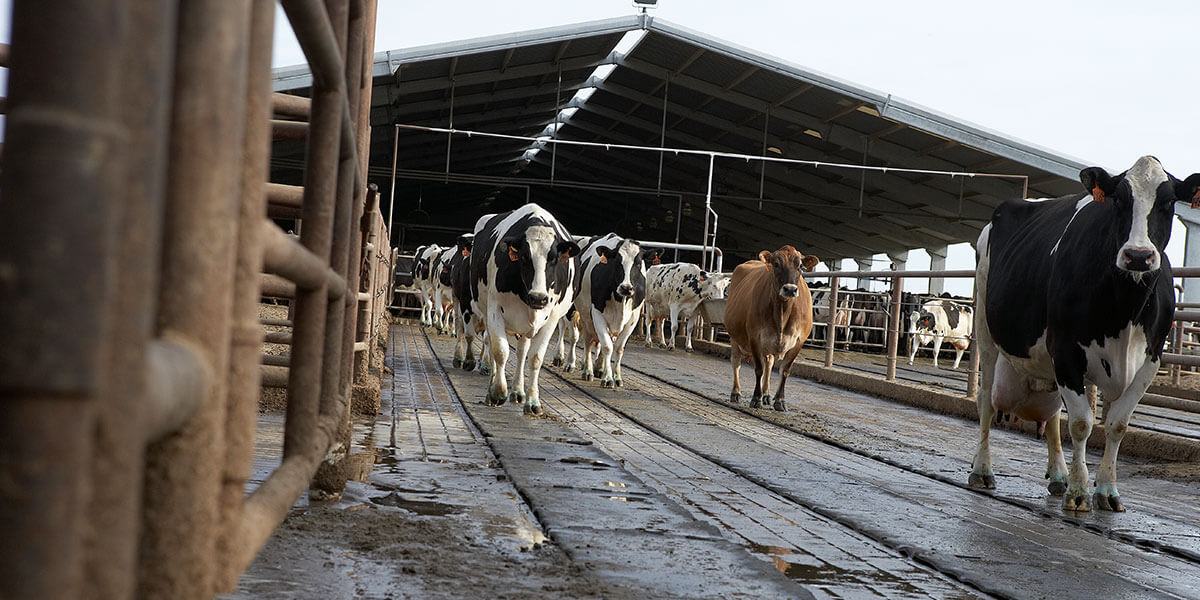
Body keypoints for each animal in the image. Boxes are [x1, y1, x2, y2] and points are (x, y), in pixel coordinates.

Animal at [468, 204, 580, 415]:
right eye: (524, 257)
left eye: (554, 259)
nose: (538, 297)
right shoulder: (494, 309)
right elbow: (500, 351)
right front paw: (497, 392)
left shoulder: (551, 319)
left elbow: (535, 358)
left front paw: (533, 402)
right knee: (492, 347)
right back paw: (492, 388)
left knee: (521, 352)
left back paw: (518, 392)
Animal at [571, 231, 657, 386]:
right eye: (617, 261)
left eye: (638, 263)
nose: (626, 288)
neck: (620, 301)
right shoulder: (597, 313)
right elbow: (607, 346)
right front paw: (608, 379)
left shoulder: (633, 318)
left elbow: (618, 348)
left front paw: (616, 377)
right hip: (584, 315)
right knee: (586, 340)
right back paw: (585, 369)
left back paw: (599, 368)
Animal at [715, 246, 820, 410]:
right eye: (776, 264)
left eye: (801, 266)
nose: (790, 289)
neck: (782, 312)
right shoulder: (755, 337)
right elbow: (759, 369)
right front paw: (756, 398)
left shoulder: (799, 341)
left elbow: (785, 371)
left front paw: (779, 401)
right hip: (734, 337)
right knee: (736, 363)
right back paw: (736, 393)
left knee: (769, 364)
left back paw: (766, 395)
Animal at [974, 154, 1200, 511]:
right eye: (1118, 200)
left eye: (1168, 204)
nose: (1138, 256)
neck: (1125, 309)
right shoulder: (1066, 350)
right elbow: (1081, 423)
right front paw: (1079, 492)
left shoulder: (1150, 360)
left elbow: (1117, 425)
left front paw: (1106, 490)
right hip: (986, 330)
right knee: (986, 401)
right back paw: (982, 470)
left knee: (1052, 415)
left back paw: (1058, 475)